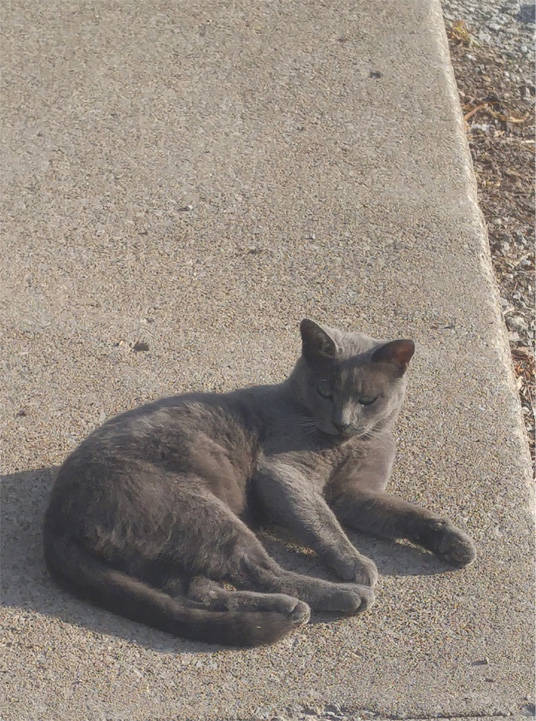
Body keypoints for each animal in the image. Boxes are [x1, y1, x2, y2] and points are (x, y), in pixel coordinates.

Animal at [44, 320, 476, 648]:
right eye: (325, 391)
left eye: (368, 400)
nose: (343, 422)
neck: (348, 444)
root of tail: (58, 515)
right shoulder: (284, 473)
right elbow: (323, 523)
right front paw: (356, 565)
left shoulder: (355, 494)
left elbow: (403, 512)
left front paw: (452, 540)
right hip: (199, 511)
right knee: (259, 569)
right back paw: (335, 598)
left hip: (161, 547)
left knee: (197, 590)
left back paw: (283, 608)